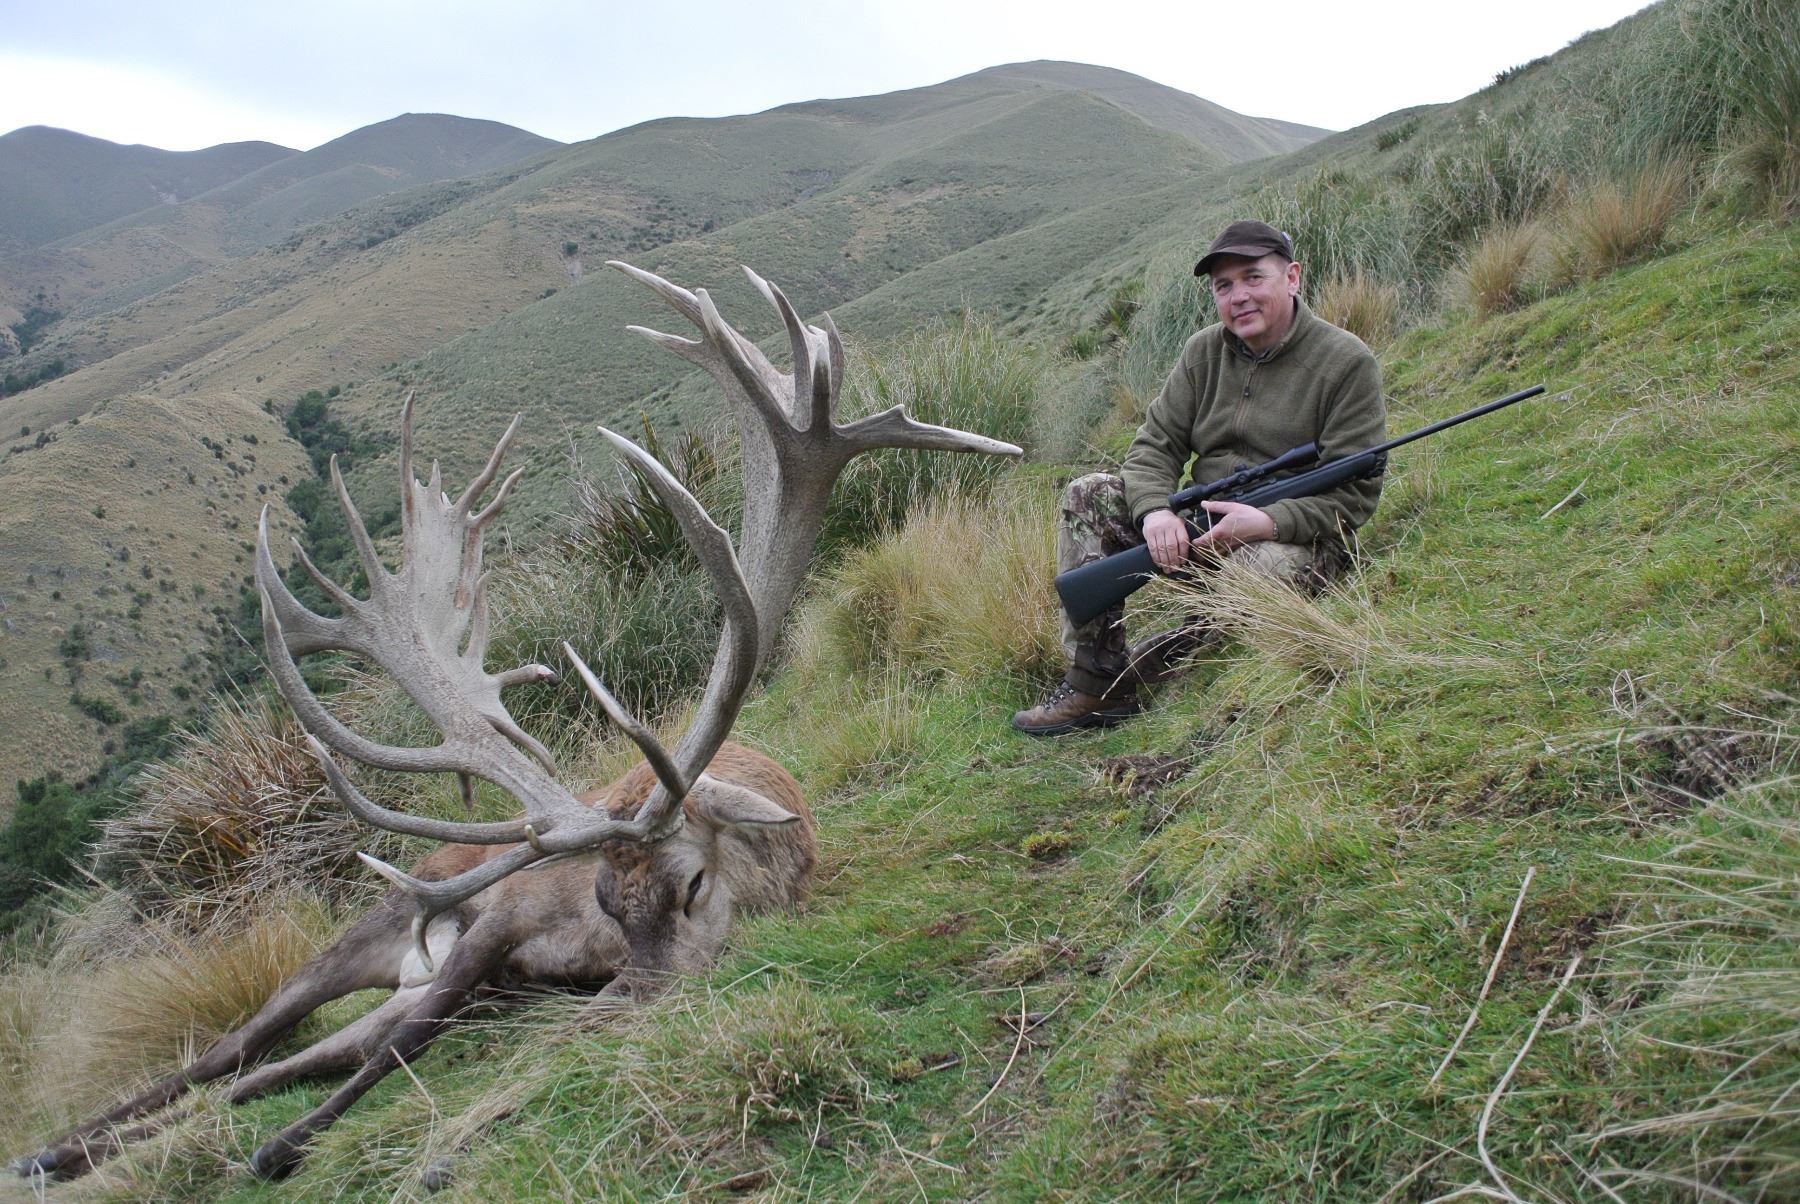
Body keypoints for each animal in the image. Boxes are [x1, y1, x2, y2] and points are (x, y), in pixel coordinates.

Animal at [13, 261, 1021, 1183]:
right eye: (608, 899)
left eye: (693, 886)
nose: (630, 1000)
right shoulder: (496, 926)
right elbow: (394, 1048)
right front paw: (288, 1148)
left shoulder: (509, 982)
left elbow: (379, 1051)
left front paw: (300, 1141)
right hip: (367, 928)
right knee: (237, 1050)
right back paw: (55, 1148)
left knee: (271, 1069)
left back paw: (96, 1150)